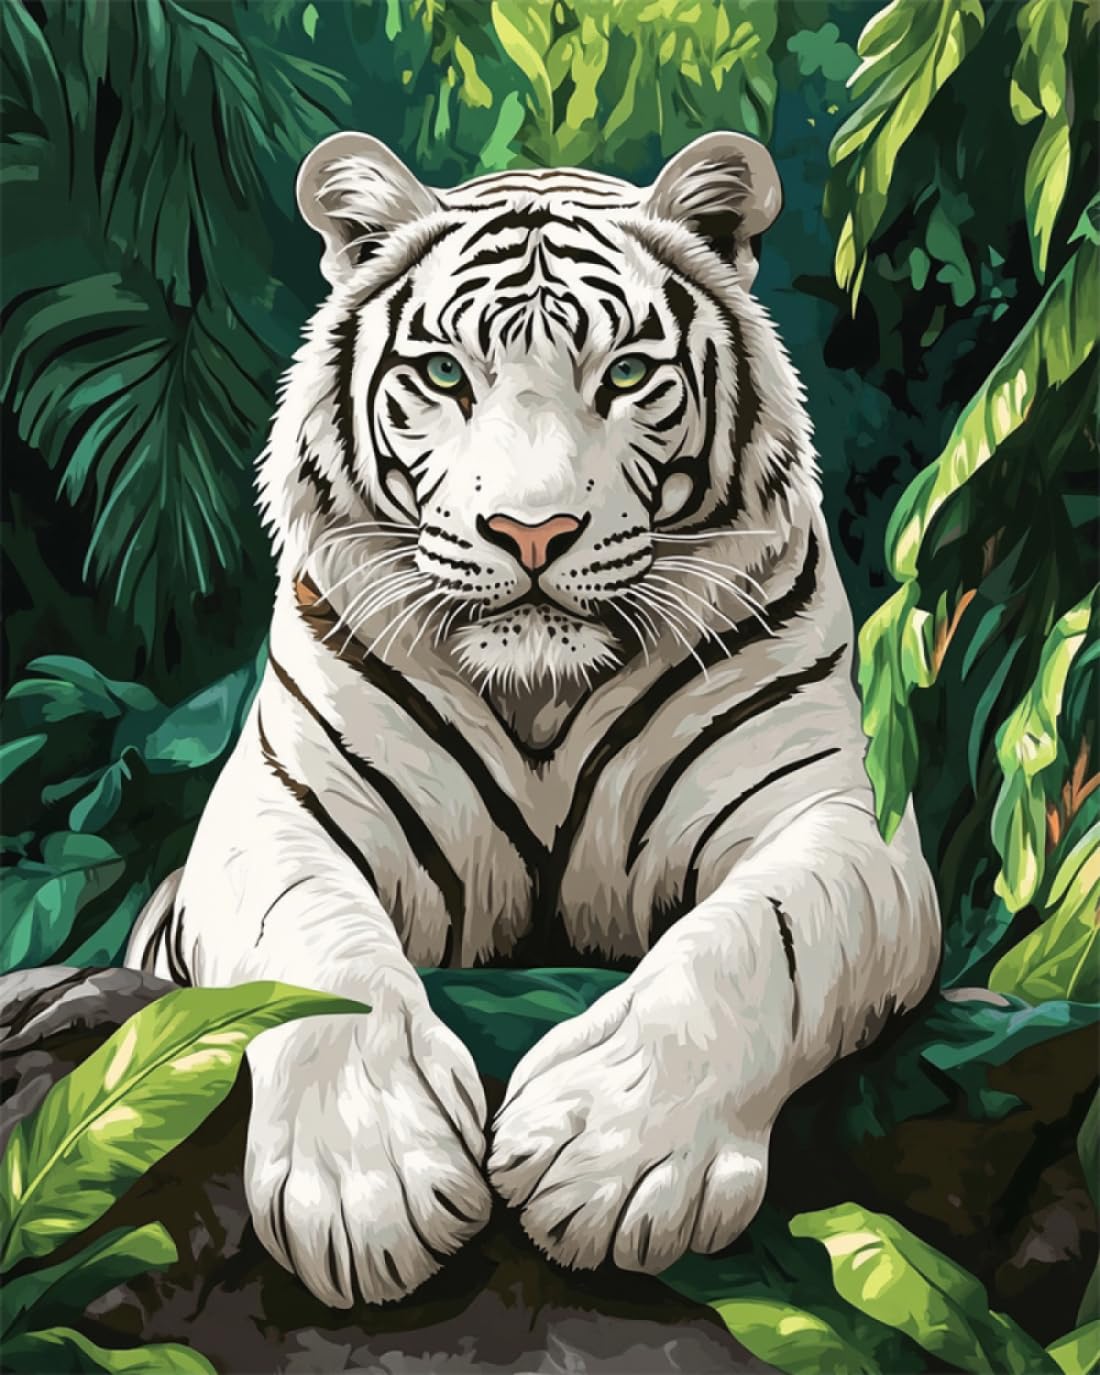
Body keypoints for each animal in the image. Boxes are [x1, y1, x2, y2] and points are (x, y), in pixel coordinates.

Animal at [125, 129, 940, 1309]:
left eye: (628, 375)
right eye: (443, 375)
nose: (531, 531)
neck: (540, 697)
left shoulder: (837, 818)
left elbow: (757, 943)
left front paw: (610, 1158)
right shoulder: (277, 811)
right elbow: (310, 947)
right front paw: (367, 1183)